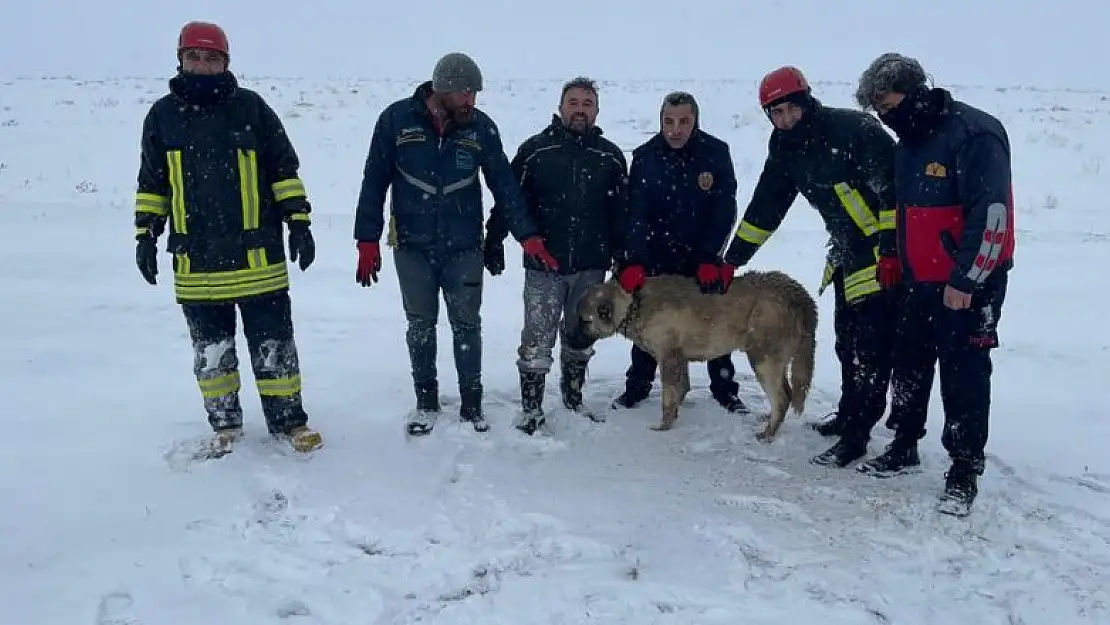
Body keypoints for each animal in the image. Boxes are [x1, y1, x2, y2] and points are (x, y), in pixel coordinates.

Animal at [581, 273, 816, 439]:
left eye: (584, 321)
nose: (573, 340)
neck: (635, 304)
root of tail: (800, 295)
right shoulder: (679, 358)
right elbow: (682, 388)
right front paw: (676, 413)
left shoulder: (669, 357)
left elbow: (668, 397)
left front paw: (664, 426)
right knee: (786, 393)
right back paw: (768, 418)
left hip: (763, 360)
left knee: (782, 397)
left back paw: (768, 434)